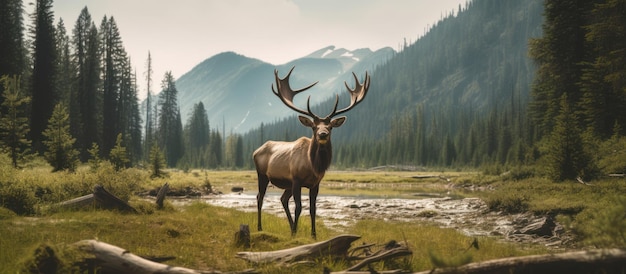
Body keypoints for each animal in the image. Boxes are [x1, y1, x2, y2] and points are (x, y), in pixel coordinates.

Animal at [251, 67, 368, 238]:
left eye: (330, 127)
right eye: (314, 127)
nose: (323, 134)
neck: (313, 166)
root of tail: (256, 150)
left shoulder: (315, 184)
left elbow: (313, 209)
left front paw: (313, 234)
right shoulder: (297, 180)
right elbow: (299, 207)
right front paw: (295, 233)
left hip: (286, 184)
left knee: (282, 199)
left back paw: (291, 227)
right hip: (262, 175)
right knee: (260, 197)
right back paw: (260, 227)